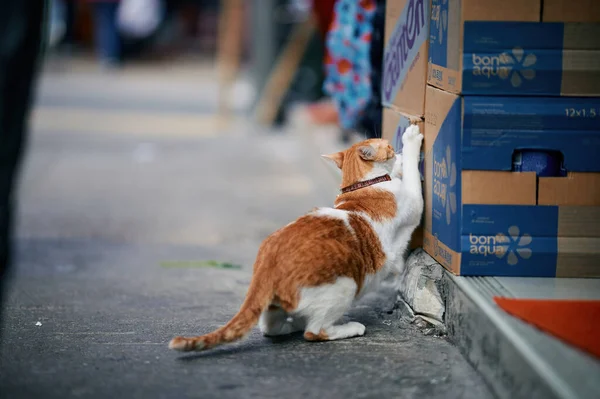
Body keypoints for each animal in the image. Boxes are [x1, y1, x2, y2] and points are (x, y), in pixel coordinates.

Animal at [166, 125, 424, 354]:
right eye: (389, 146)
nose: (395, 149)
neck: (362, 185)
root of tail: (267, 263)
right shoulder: (413, 203)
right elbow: (413, 177)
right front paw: (410, 143)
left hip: (276, 304)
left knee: (269, 328)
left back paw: (294, 324)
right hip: (345, 286)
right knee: (315, 331)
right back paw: (347, 327)